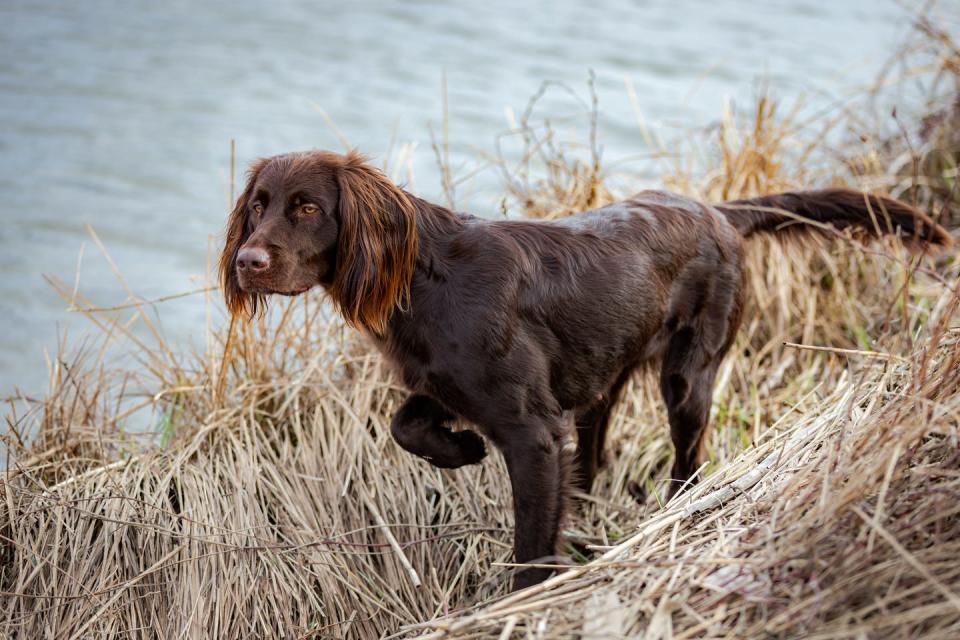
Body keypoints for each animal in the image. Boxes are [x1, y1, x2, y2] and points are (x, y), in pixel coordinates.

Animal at [219, 150, 952, 592]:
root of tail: (717, 211)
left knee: (689, 460)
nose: (248, 261)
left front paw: (516, 604)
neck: (427, 279)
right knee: (597, 455)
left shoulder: (534, 433)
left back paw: (671, 511)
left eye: (308, 207)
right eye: (257, 204)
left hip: (688, 376)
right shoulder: (449, 387)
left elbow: (529, 546)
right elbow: (407, 425)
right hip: (604, 381)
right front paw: (460, 450)